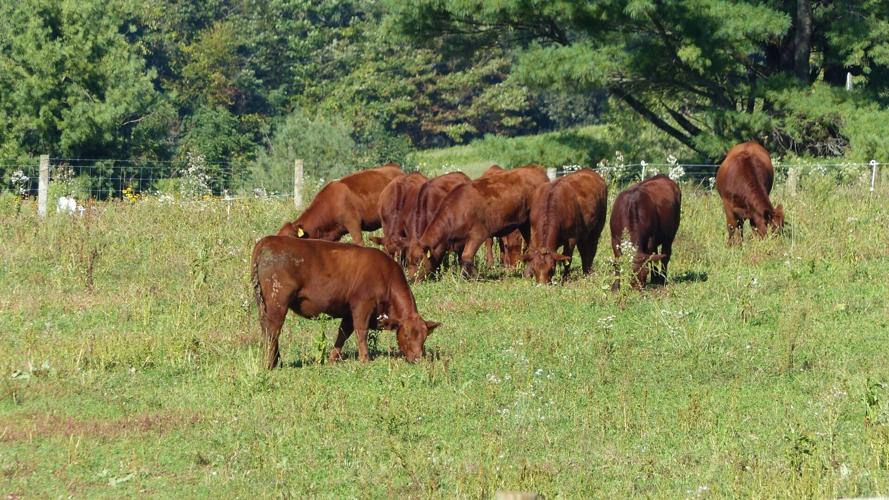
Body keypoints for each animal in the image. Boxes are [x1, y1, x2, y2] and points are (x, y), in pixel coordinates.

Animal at [251, 236, 440, 369]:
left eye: (424, 336)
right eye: (406, 335)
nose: (417, 358)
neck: (386, 277)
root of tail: (269, 240)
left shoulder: (349, 313)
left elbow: (342, 334)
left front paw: (332, 359)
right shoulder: (362, 305)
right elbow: (361, 332)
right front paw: (365, 359)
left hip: (264, 304)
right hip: (277, 303)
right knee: (272, 331)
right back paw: (271, 364)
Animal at [410, 165, 549, 280]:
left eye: (418, 260)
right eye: (408, 261)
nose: (411, 279)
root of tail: (536, 169)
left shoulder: (478, 234)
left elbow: (466, 256)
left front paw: (472, 277)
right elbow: (462, 257)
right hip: (525, 224)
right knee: (531, 247)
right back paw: (528, 273)